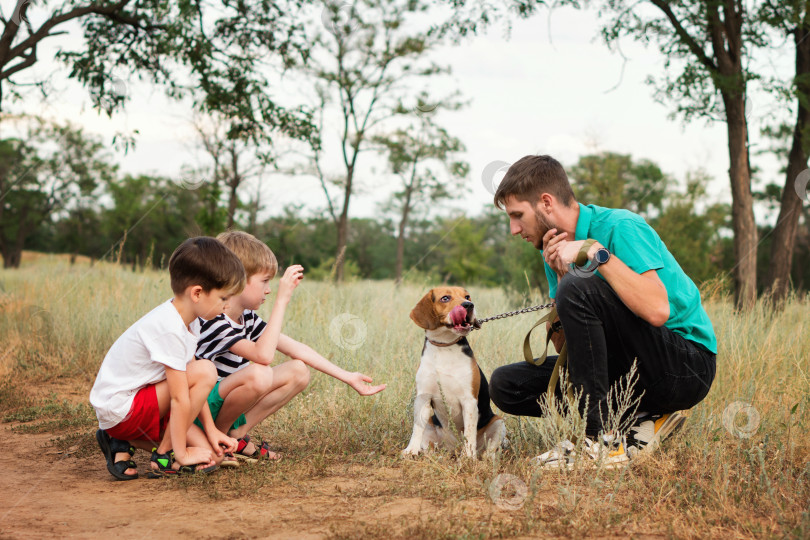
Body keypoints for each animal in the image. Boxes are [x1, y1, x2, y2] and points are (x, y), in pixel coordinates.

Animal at [402, 286, 508, 460]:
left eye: (467, 296)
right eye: (445, 298)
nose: (469, 305)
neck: (445, 346)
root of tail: (453, 448)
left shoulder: (469, 400)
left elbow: (469, 432)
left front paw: (468, 457)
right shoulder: (423, 397)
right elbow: (417, 427)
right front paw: (411, 450)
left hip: (498, 422)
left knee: (489, 450)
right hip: (431, 425)